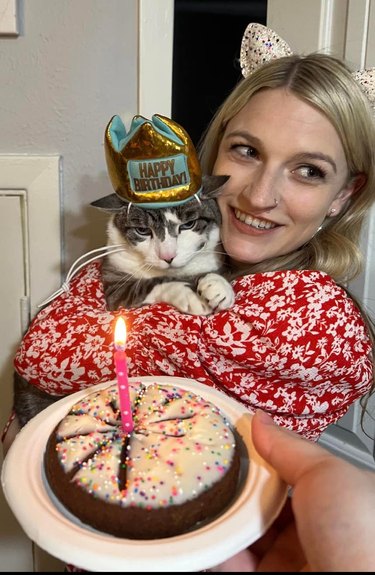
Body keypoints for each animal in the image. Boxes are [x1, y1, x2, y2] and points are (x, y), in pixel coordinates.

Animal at [12, 176, 235, 428]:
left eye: (188, 225)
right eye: (142, 230)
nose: (168, 256)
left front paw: (217, 285)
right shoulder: (117, 288)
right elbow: (153, 283)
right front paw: (190, 295)